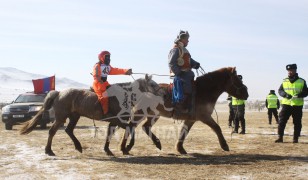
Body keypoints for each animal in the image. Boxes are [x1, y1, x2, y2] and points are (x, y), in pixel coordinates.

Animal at [19, 75, 161, 156]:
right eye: (152, 84)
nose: (162, 94)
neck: (123, 96)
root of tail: (59, 93)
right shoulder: (117, 120)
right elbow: (130, 128)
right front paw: (127, 147)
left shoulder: (113, 122)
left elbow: (111, 133)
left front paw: (108, 150)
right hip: (60, 118)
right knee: (52, 131)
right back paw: (49, 150)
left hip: (74, 117)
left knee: (69, 130)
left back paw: (78, 147)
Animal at [120, 67, 248, 154]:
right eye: (237, 80)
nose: (246, 93)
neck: (203, 90)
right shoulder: (204, 117)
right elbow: (217, 128)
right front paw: (225, 145)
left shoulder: (191, 119)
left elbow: (184, 132)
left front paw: (180, 148)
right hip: (140, 113)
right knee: (130, 126)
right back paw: (124, 148)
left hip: (154, 115)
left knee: (145, 127)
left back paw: (156, 143)